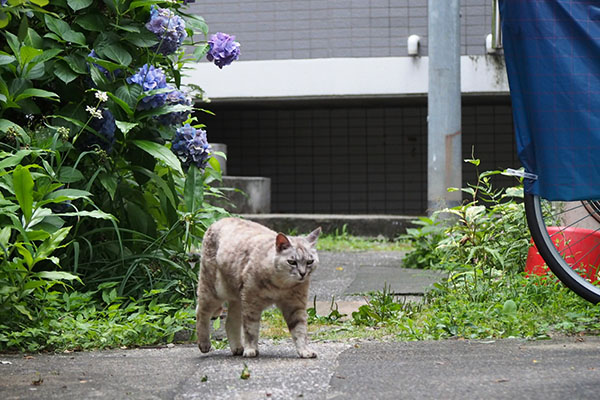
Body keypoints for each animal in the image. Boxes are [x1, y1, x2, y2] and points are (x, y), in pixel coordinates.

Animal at [196, 217, 318, 358]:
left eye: (309, 262)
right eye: (292, 262)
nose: (303, 273)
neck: (281, 285)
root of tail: (219, 220)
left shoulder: (295, 306)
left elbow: (300, 330)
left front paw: (304, 350)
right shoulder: (251, 304)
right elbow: (251, 330)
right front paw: (251, 349)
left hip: (237, 299)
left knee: (230, 322)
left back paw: (237, 348)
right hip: (214, 291)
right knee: (201, 312)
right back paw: (204, 344)